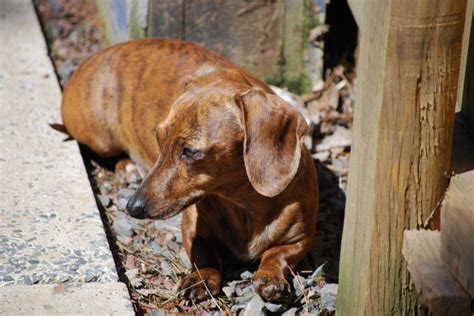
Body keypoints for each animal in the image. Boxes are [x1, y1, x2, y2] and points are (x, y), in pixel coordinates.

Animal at [60, 37, 318, 302]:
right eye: (158, 138)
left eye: (189, 151)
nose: (132, 208)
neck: (243, 203)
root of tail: (89, 59)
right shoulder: (194, 228)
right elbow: (203, 255)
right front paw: (200, 278)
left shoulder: (301, 240)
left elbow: (277, 254)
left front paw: (270, 277)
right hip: (101, 138)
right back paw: (128, 167)